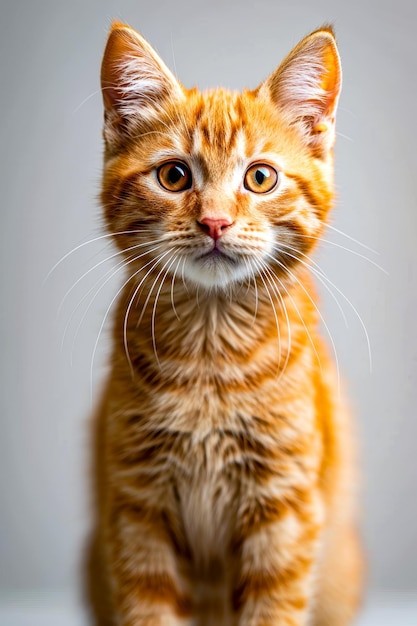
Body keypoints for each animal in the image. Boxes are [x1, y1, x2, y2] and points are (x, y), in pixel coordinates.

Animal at [86, 19, 362, 624]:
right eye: (173, 176)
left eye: (259, 178)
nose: (215, 221)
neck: (211, 357)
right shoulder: (136, 509)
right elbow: (148, 606)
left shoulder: (285, 509)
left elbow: (274, 605)